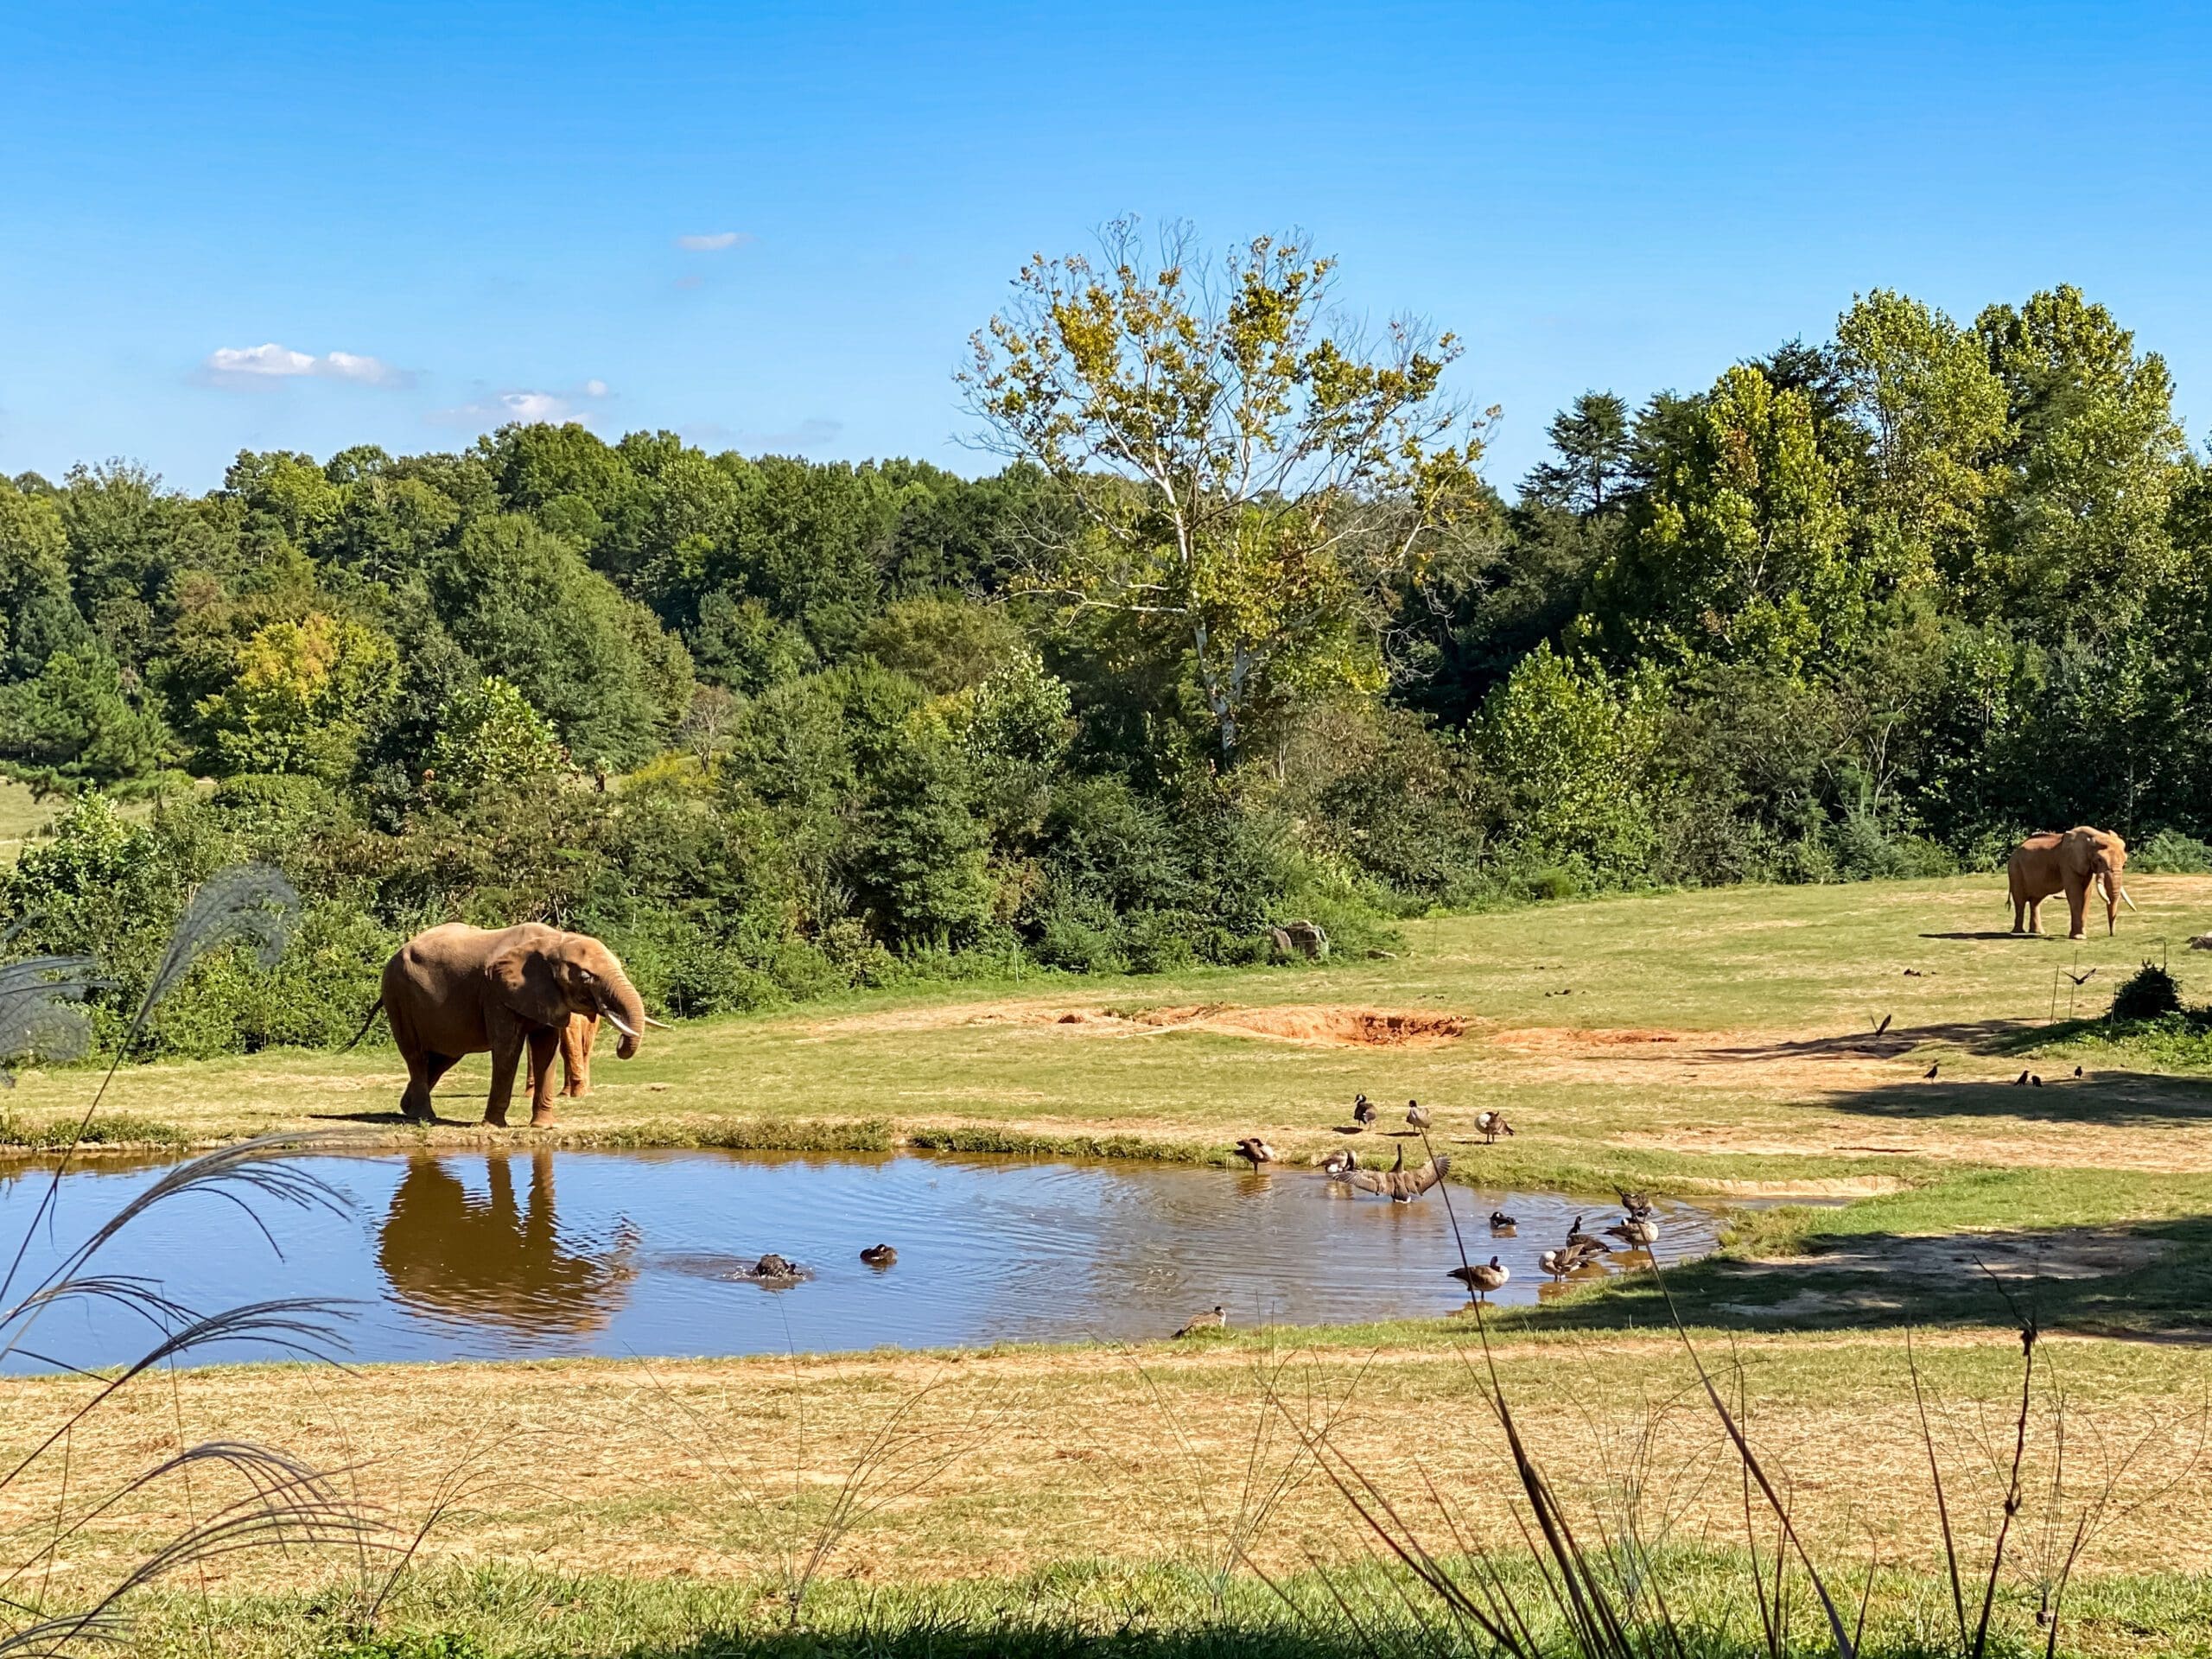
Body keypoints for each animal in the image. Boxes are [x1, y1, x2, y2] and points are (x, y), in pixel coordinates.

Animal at [376, 925, 654, 1132]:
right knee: (415, 1053)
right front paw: (493, 1126)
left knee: (446, 1057)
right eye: (586, 977)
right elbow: (508, 1048)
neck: (554, 941)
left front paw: (543, 1127)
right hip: (397, 994)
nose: (620, 1042)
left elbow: (546, 1049)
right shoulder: (496, 993)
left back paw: (407, 1107)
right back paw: (424, 1117)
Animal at [1999, 827, 2132, 942]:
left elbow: (2086, 894)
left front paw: (2082, 935)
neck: (2095, 835)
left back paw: (2037, 932)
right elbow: (2075, 894)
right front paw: (2079, 937)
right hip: (2015, 869)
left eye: (2125, 862)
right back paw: (2018, 933)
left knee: (2036, 901)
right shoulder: (2067, 863)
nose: (2112, 934)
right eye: (2099, 860)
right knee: (2020, 901)